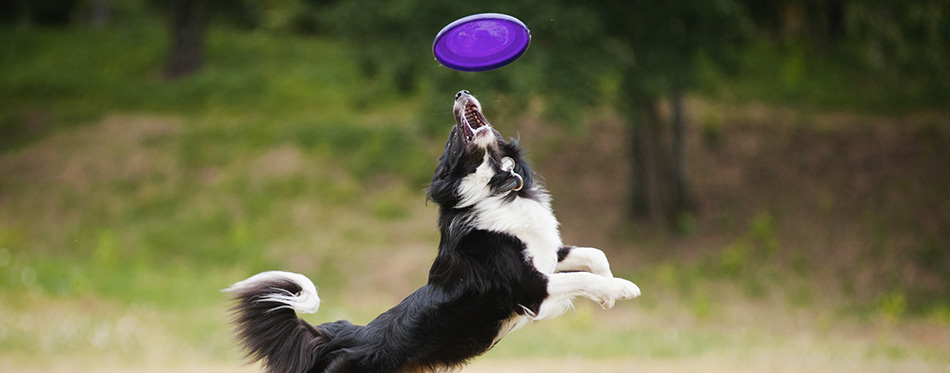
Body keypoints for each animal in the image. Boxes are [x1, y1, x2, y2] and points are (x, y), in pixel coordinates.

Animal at [227, 91, 644, 372]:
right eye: (452, 139)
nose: (461, 93)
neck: (499, 190)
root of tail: (340, 336)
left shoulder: (546, 255)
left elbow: (593, 255)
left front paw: (610, 291)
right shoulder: (529, 289)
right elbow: (581, 278)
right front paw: (621, 288)